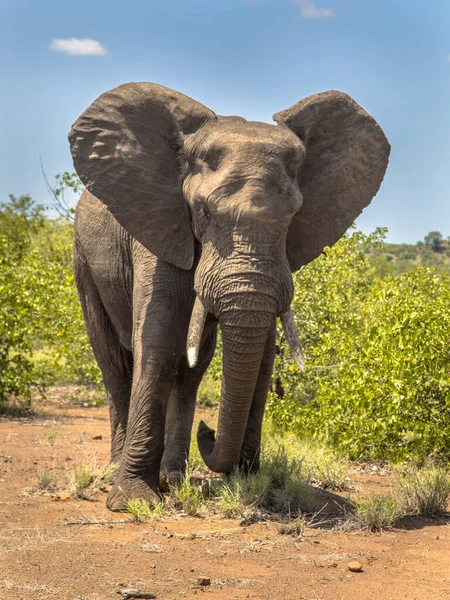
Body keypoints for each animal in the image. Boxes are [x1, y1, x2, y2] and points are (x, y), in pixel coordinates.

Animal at [68, 81, 388, 510]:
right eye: (203, 211)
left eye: (294, 216)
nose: (209, 432)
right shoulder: (159, 222)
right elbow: (158, 338)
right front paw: (133, 501)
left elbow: (263, 351)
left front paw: (253, 483)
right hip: (84, 258)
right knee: (115, 362)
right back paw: (117, 472)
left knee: (190, 370)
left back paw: (173, 478)